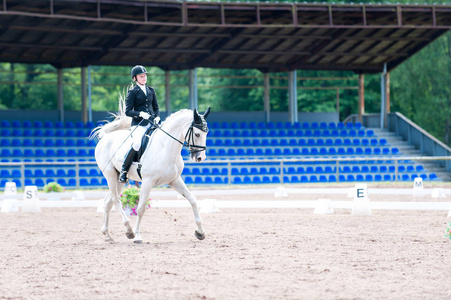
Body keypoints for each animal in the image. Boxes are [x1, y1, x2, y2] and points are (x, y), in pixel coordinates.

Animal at [93, 101, 212, 244]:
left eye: (206, 133)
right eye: (197, 134)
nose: (200, 158)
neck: (165, 148)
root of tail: (106, 138)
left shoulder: (174, 180)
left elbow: (192, 199)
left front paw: (200, 232)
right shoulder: (147, 181)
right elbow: (141, 208)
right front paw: (138, 236)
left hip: (119, 179)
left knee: (108, 202)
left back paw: (107, 235)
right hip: (110, 174)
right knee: (116, 200)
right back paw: (129, 230)